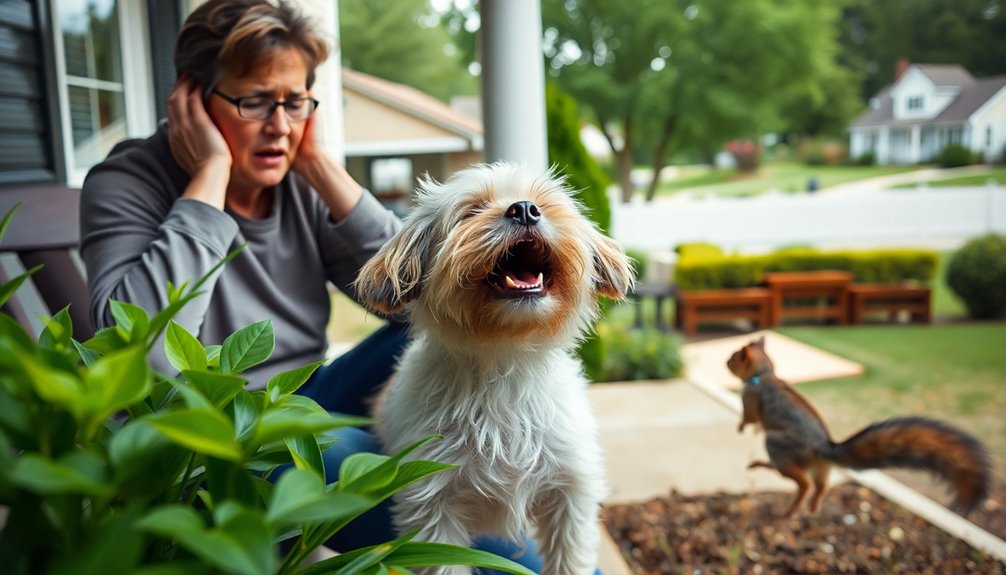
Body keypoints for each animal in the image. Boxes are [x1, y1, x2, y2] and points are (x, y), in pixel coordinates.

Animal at [358, 161, 631, 575]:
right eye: (471, 210)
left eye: (542, 203)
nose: (525, 210)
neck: (506, 361)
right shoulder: (432, 510)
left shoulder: (571, 494)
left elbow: (570, 556)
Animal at [724, 333, 989, 518]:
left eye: (736, 357)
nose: (726, 362)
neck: (763, 375)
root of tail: (823, 448)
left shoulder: (750, 399)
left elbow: (750, 417)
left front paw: (741, 426)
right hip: (821, 467)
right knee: (819, 486)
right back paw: (810, 505)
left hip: (778, 445)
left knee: (803, 483)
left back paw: (791, 504)